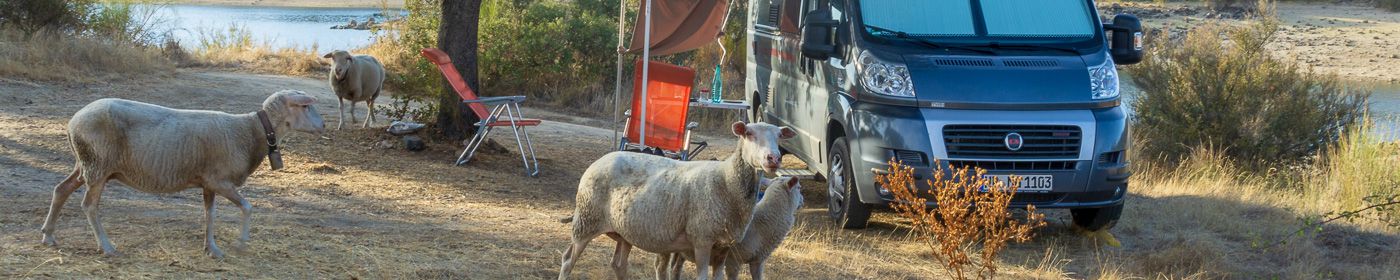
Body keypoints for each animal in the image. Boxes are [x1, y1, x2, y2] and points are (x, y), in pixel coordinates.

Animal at [40, 89, 324, 257]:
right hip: (98, 164)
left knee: (61, 189)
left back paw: (48, 235)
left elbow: (210, 215)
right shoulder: (220, 180)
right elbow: (248, 207)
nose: (323, 125)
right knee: (88, 205)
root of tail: (73, 121)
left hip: (87, 164)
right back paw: (106, 246)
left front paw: (212, 248)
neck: (250, 131)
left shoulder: (208, 182)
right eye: (305, 107)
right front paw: (241, 243)